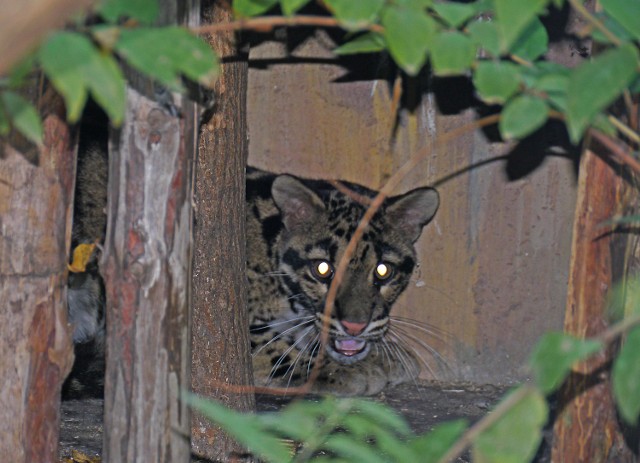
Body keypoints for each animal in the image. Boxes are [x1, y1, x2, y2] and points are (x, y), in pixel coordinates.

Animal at [67, 129, 442, 396]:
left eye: (383, 271)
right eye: (322, 269)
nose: (354, 326)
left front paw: (387, 353)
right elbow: (277, 349)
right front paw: (351, 368)